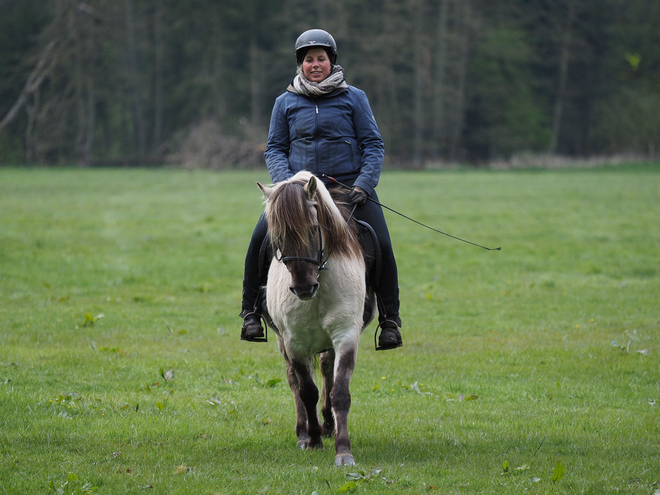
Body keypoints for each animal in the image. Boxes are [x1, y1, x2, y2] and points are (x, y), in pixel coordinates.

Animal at [255, 170, 374, 464]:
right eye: (278, 237)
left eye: (312, 228)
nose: (303, 288)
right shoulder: (295, 342)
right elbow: (306, 391)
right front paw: (314, 441)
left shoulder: (346, 335)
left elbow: (339, 391)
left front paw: (343, 450)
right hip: (284, 343)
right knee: (294, 381)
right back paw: (303, 433)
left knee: (327, 371)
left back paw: (329, 426)